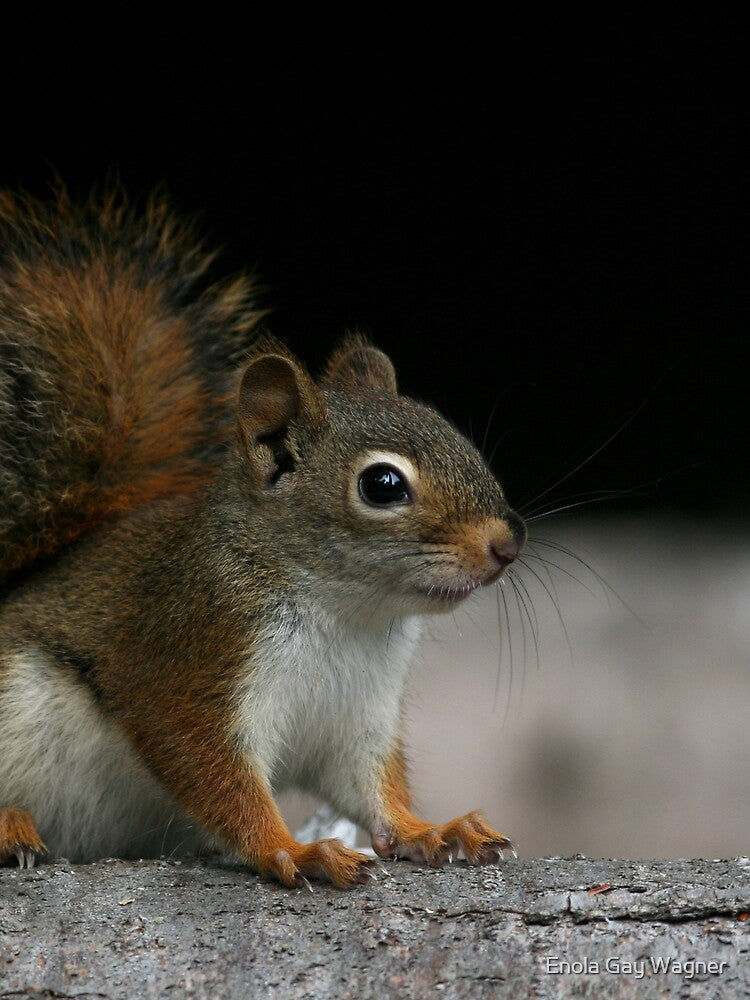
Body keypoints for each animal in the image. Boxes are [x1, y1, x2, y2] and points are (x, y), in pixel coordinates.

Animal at [0, 187, 527, 888]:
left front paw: (431, 829)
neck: (345, 611)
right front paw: (295, 850)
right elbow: (213, 772)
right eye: (383, 484)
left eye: (453, 433)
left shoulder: (358, 716)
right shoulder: (194, 657)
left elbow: (371, 790)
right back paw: (9, 824)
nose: (508, 544)